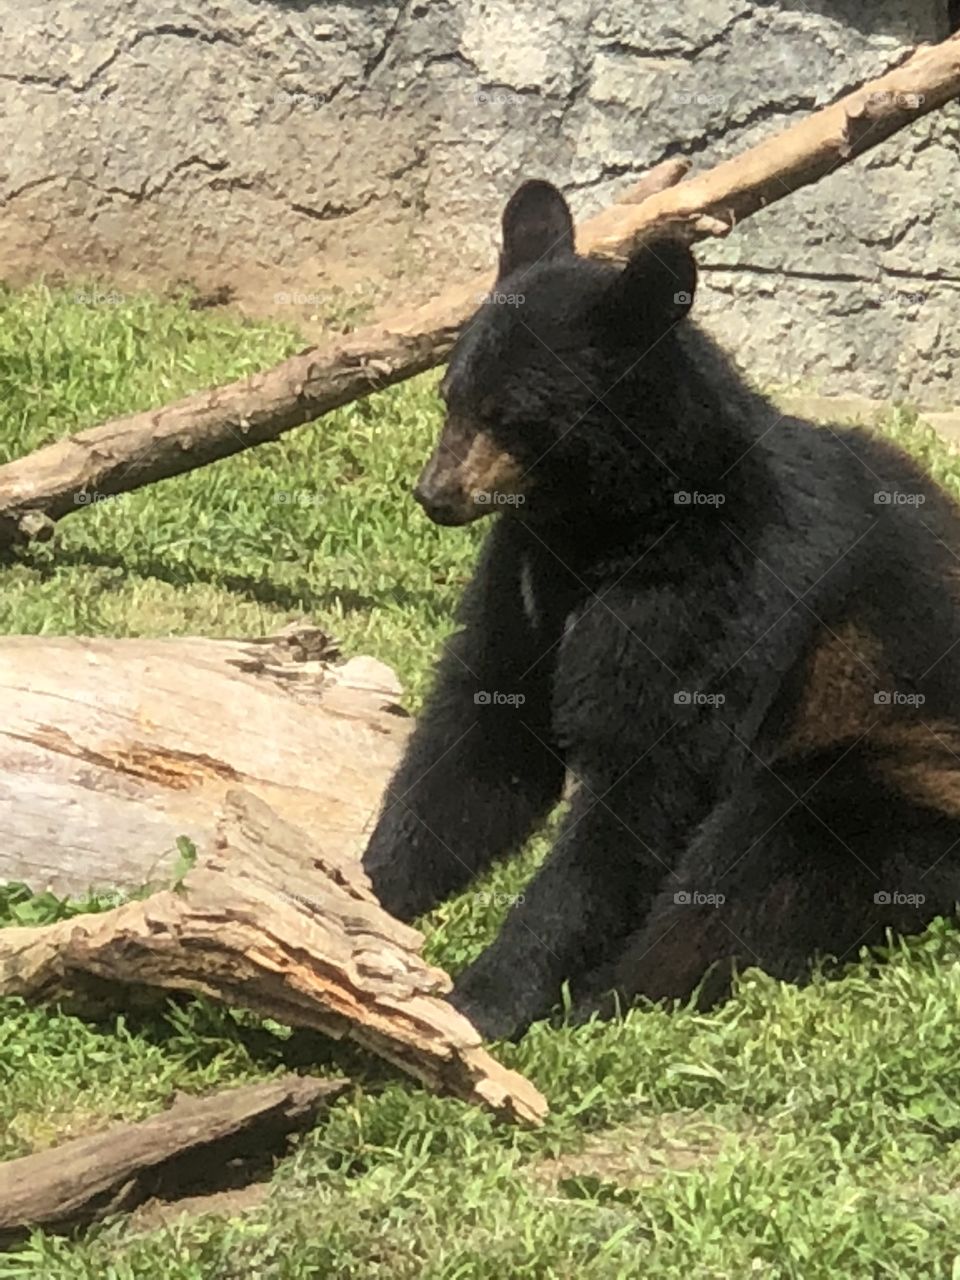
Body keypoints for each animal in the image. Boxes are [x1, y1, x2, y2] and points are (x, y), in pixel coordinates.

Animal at [362, 177, 960, 1041]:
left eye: (512, 417)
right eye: (452, 397)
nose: (436, 495)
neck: (605, 522)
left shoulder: (712, 591)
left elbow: (643, 778)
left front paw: (487, 996)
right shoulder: (525, 571)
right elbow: (484, 731)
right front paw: (362, 893)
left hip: (896, 768)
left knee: (760, 856)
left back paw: (612, 991)